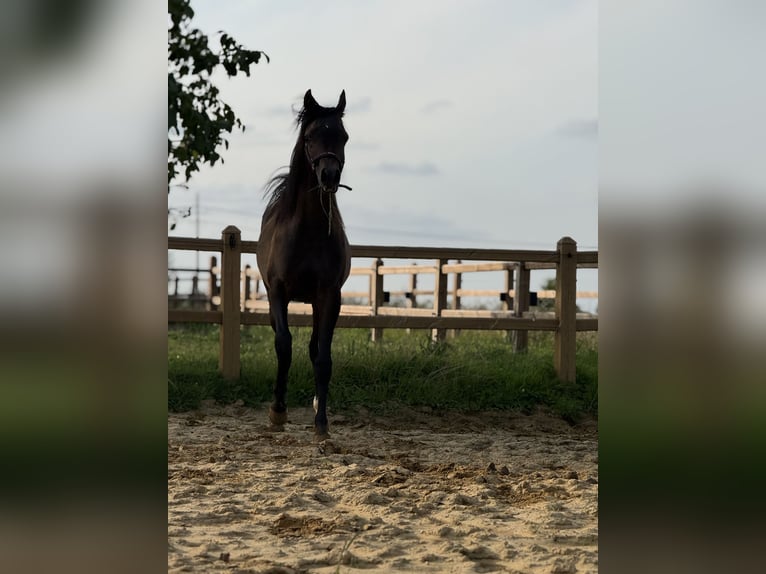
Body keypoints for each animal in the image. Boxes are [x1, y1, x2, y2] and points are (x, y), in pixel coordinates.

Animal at [256, 89, 352, 440]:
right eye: (310, 137)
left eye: (343, 136)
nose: (329, 176)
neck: (308, 230)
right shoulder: (278, 292)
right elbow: (283, 346)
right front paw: (277, 412)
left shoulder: (329, 296)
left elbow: (322, 357)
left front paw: (321, 422)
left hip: (316, 302)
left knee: (313, 348)